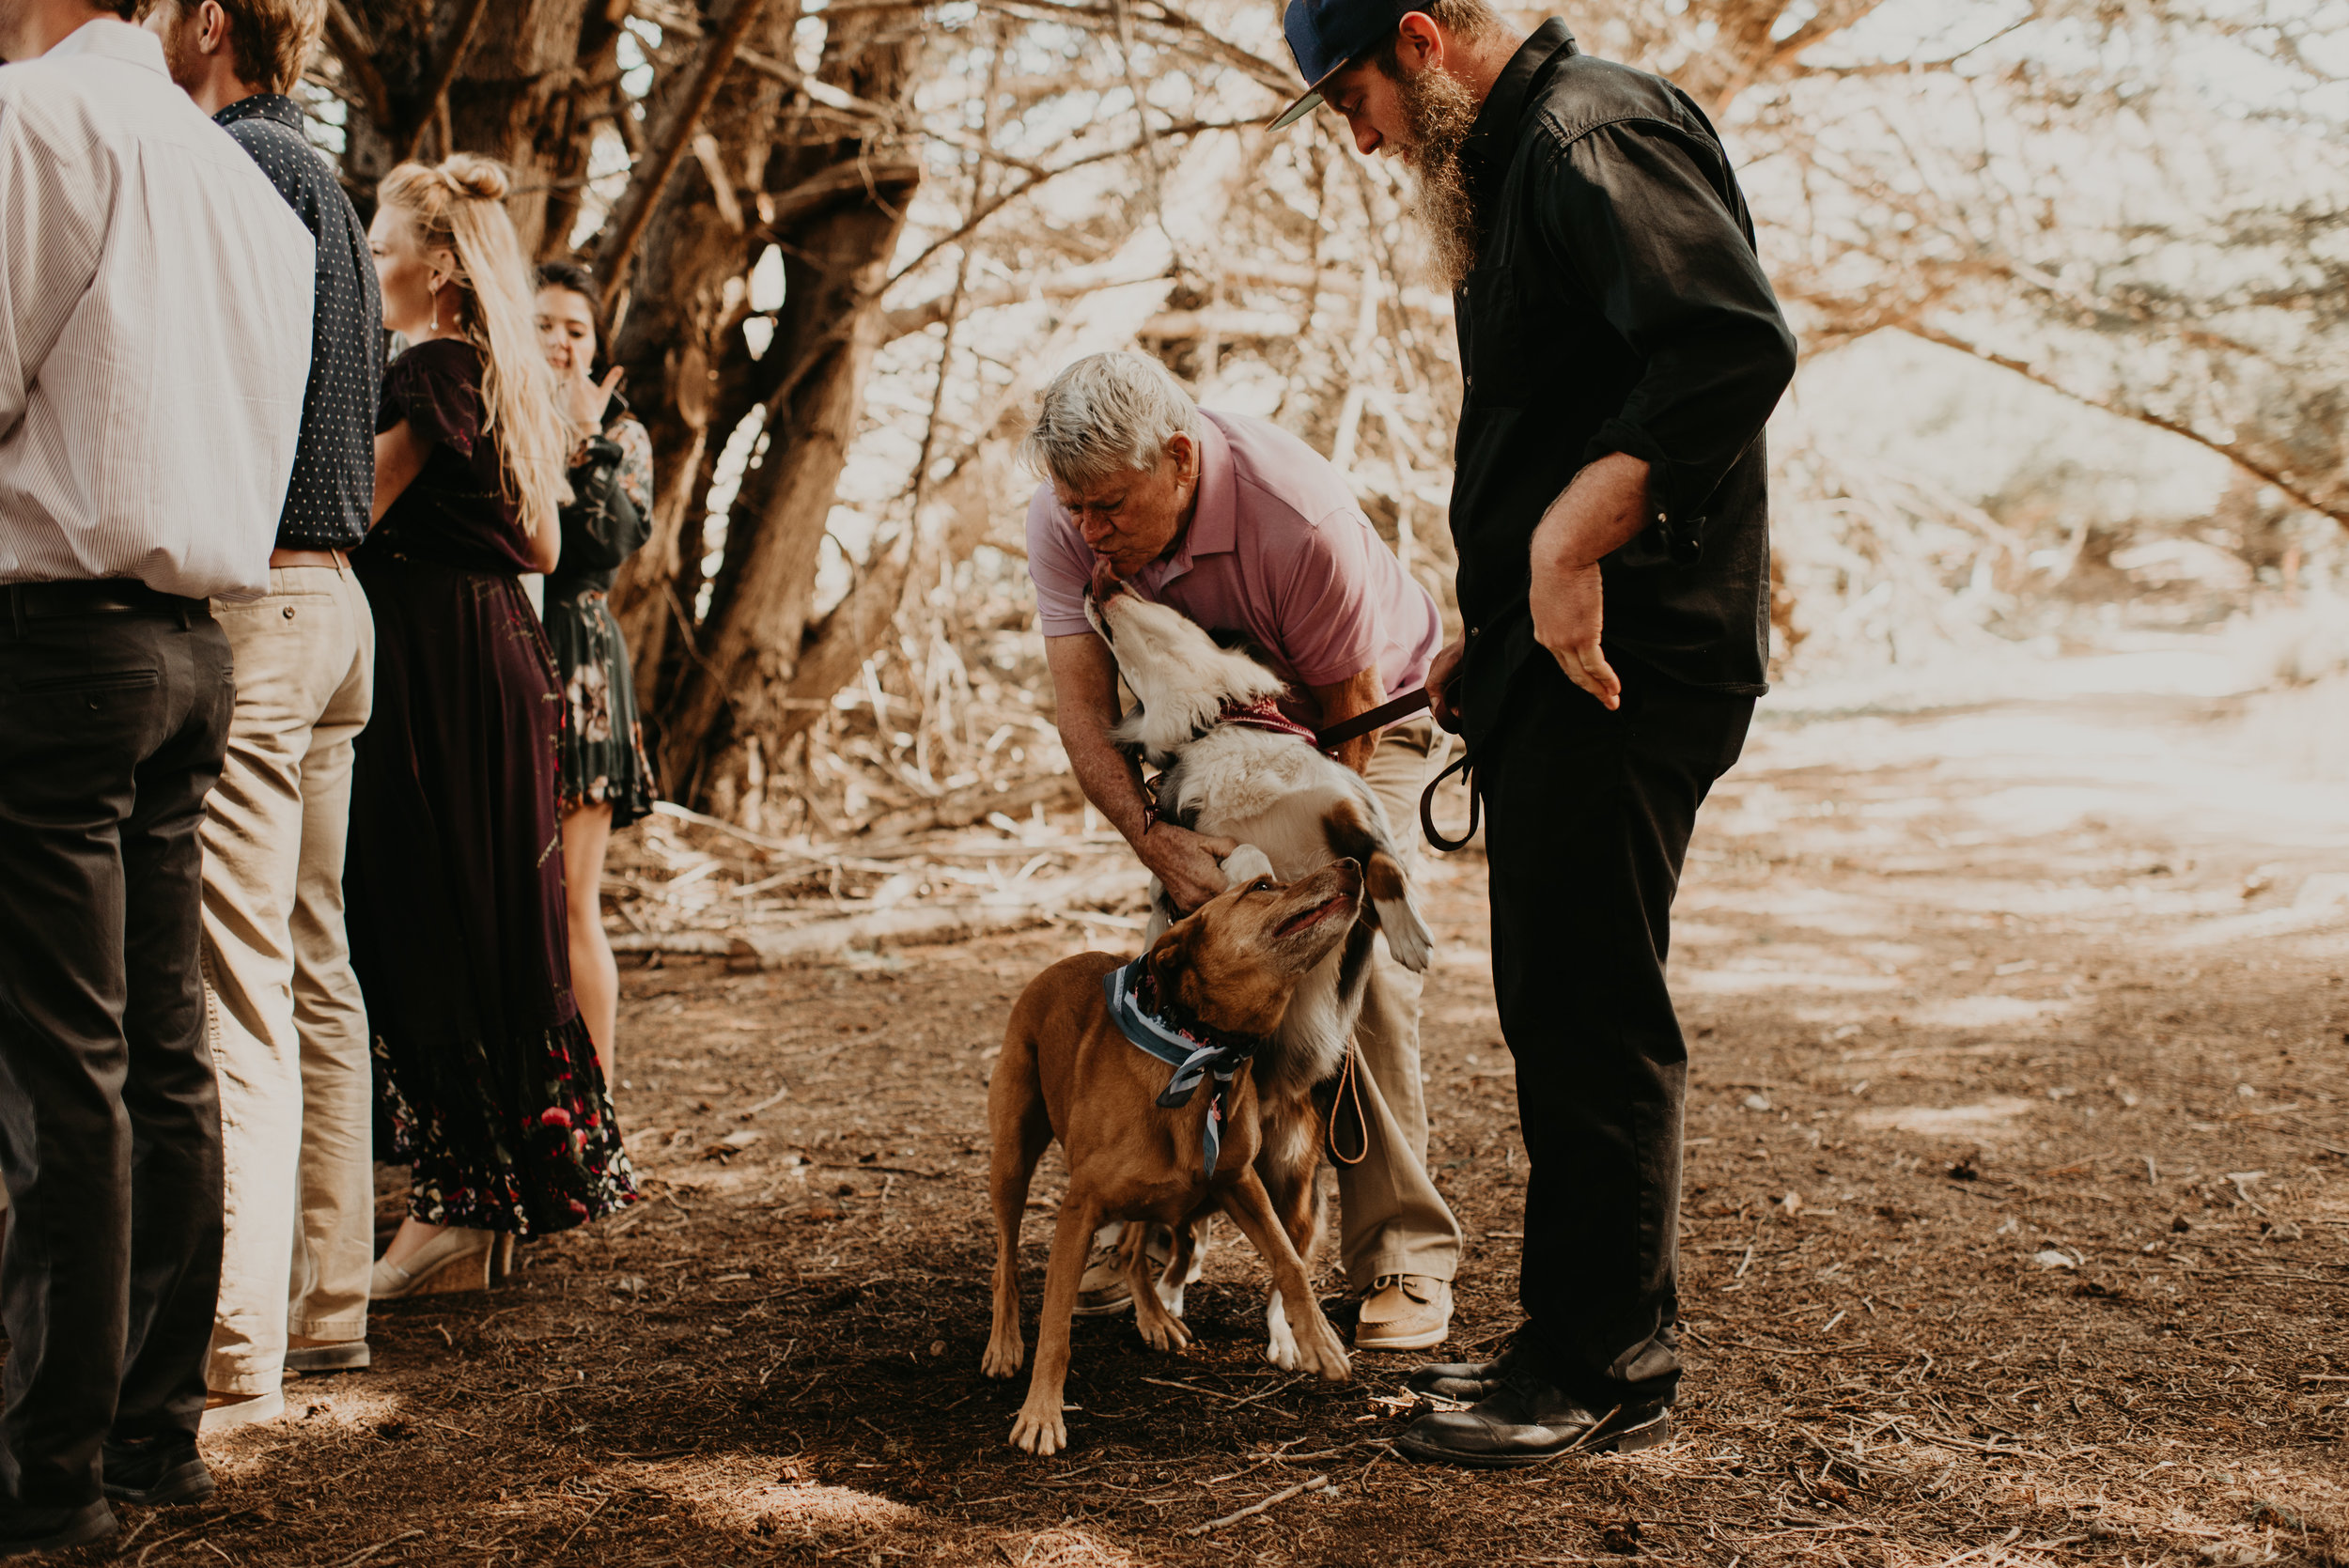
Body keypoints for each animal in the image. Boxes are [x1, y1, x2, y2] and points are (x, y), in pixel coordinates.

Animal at [977, 859, 1362, 1455]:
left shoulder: (1241, 1182)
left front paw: (1317, 1339)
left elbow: (1290, 1262)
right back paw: (1004, 1343)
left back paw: (1155, 1316)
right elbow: (1056, 1328)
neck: (1202, 1048)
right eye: (1262, 887)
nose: (1353, 863)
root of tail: (1055, 966)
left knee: (1135, 1253)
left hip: (1152, 1197)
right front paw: (1041, 1413)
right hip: (1013, 1160)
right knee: (1007, 1263)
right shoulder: (1079, 1211)